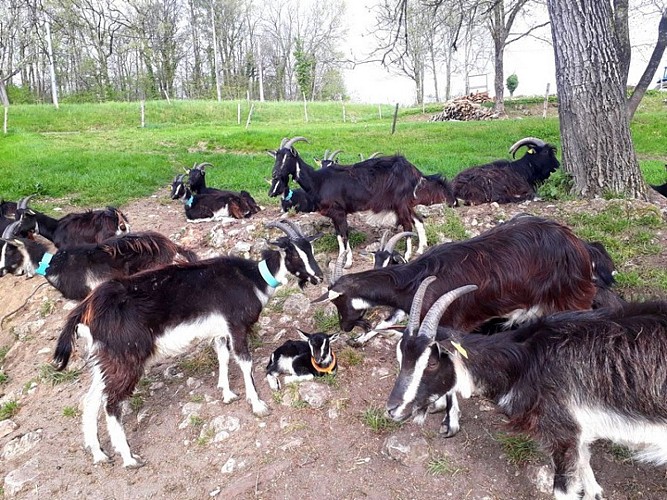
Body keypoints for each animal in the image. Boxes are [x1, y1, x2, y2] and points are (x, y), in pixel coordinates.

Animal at [52, 220, 323, 468]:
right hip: (126, 357)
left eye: (309, 248)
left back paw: (99, 454)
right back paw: (129, 458)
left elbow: (222, 356)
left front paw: (227, 394)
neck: (252, 278)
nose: (318, 277)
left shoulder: (220, 331)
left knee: (91, 399)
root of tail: (86, 309)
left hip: (105, 358)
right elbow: (245, 362)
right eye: (293, 254)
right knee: (111, 404)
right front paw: (257, 405)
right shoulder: (236, 325)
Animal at [268, 136, 456, 267]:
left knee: (408, 225)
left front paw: (348, 262)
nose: (275, 174)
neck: (318, 181)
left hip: (401, 202)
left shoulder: (339, 212)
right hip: (404, 203)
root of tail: (414, 170)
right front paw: (341, 258)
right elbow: (338, 236)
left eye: (287, 158)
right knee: (418, 220)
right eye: (276, 156)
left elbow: (344, 235)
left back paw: (408, 255)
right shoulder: (333, 214)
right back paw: (421, 248)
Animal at [387, 278, 667, 500]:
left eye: (432, 362)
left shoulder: (561, 430)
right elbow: (587, 469)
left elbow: (563, 490)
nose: (392, 408)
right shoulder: (578, 432)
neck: (525, 360)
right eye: (401, 358)